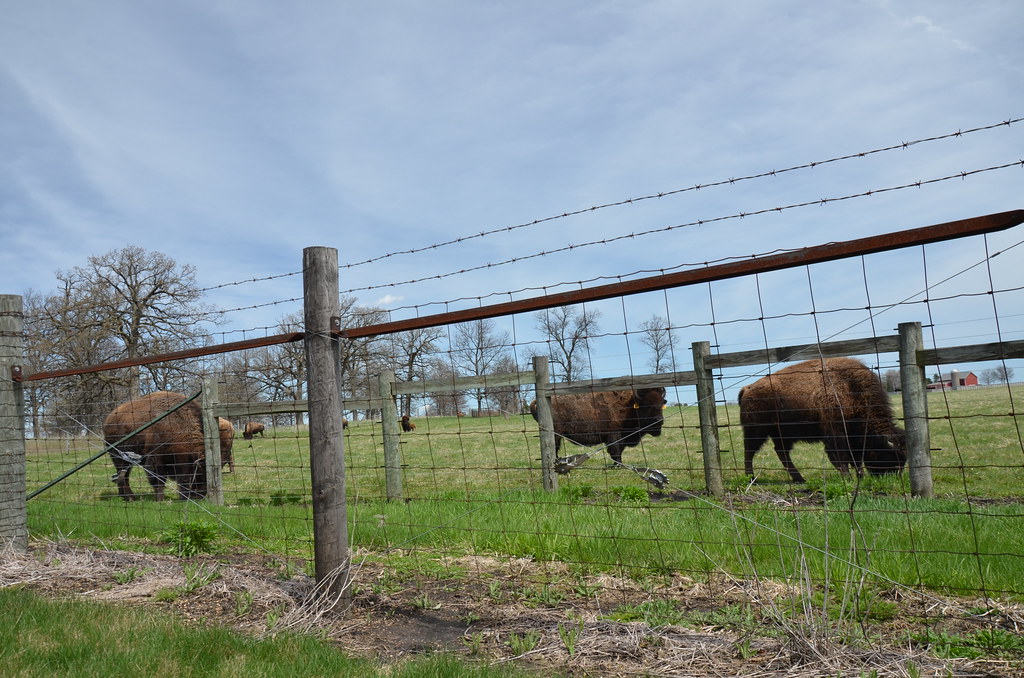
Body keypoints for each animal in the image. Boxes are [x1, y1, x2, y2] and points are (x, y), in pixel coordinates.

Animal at [738, 357, 906, 482]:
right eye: (890, 455)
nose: (892, 477)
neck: (851, 387)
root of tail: (746, 389)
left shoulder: (853, 437)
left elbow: (856, 459)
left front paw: (860, 477)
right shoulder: (836, 433)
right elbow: (841, 456)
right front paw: (848, 478)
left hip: (782, 434)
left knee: (781, 452)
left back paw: (799, 479)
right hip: (757, 430)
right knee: (749, 451)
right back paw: (750, 477)